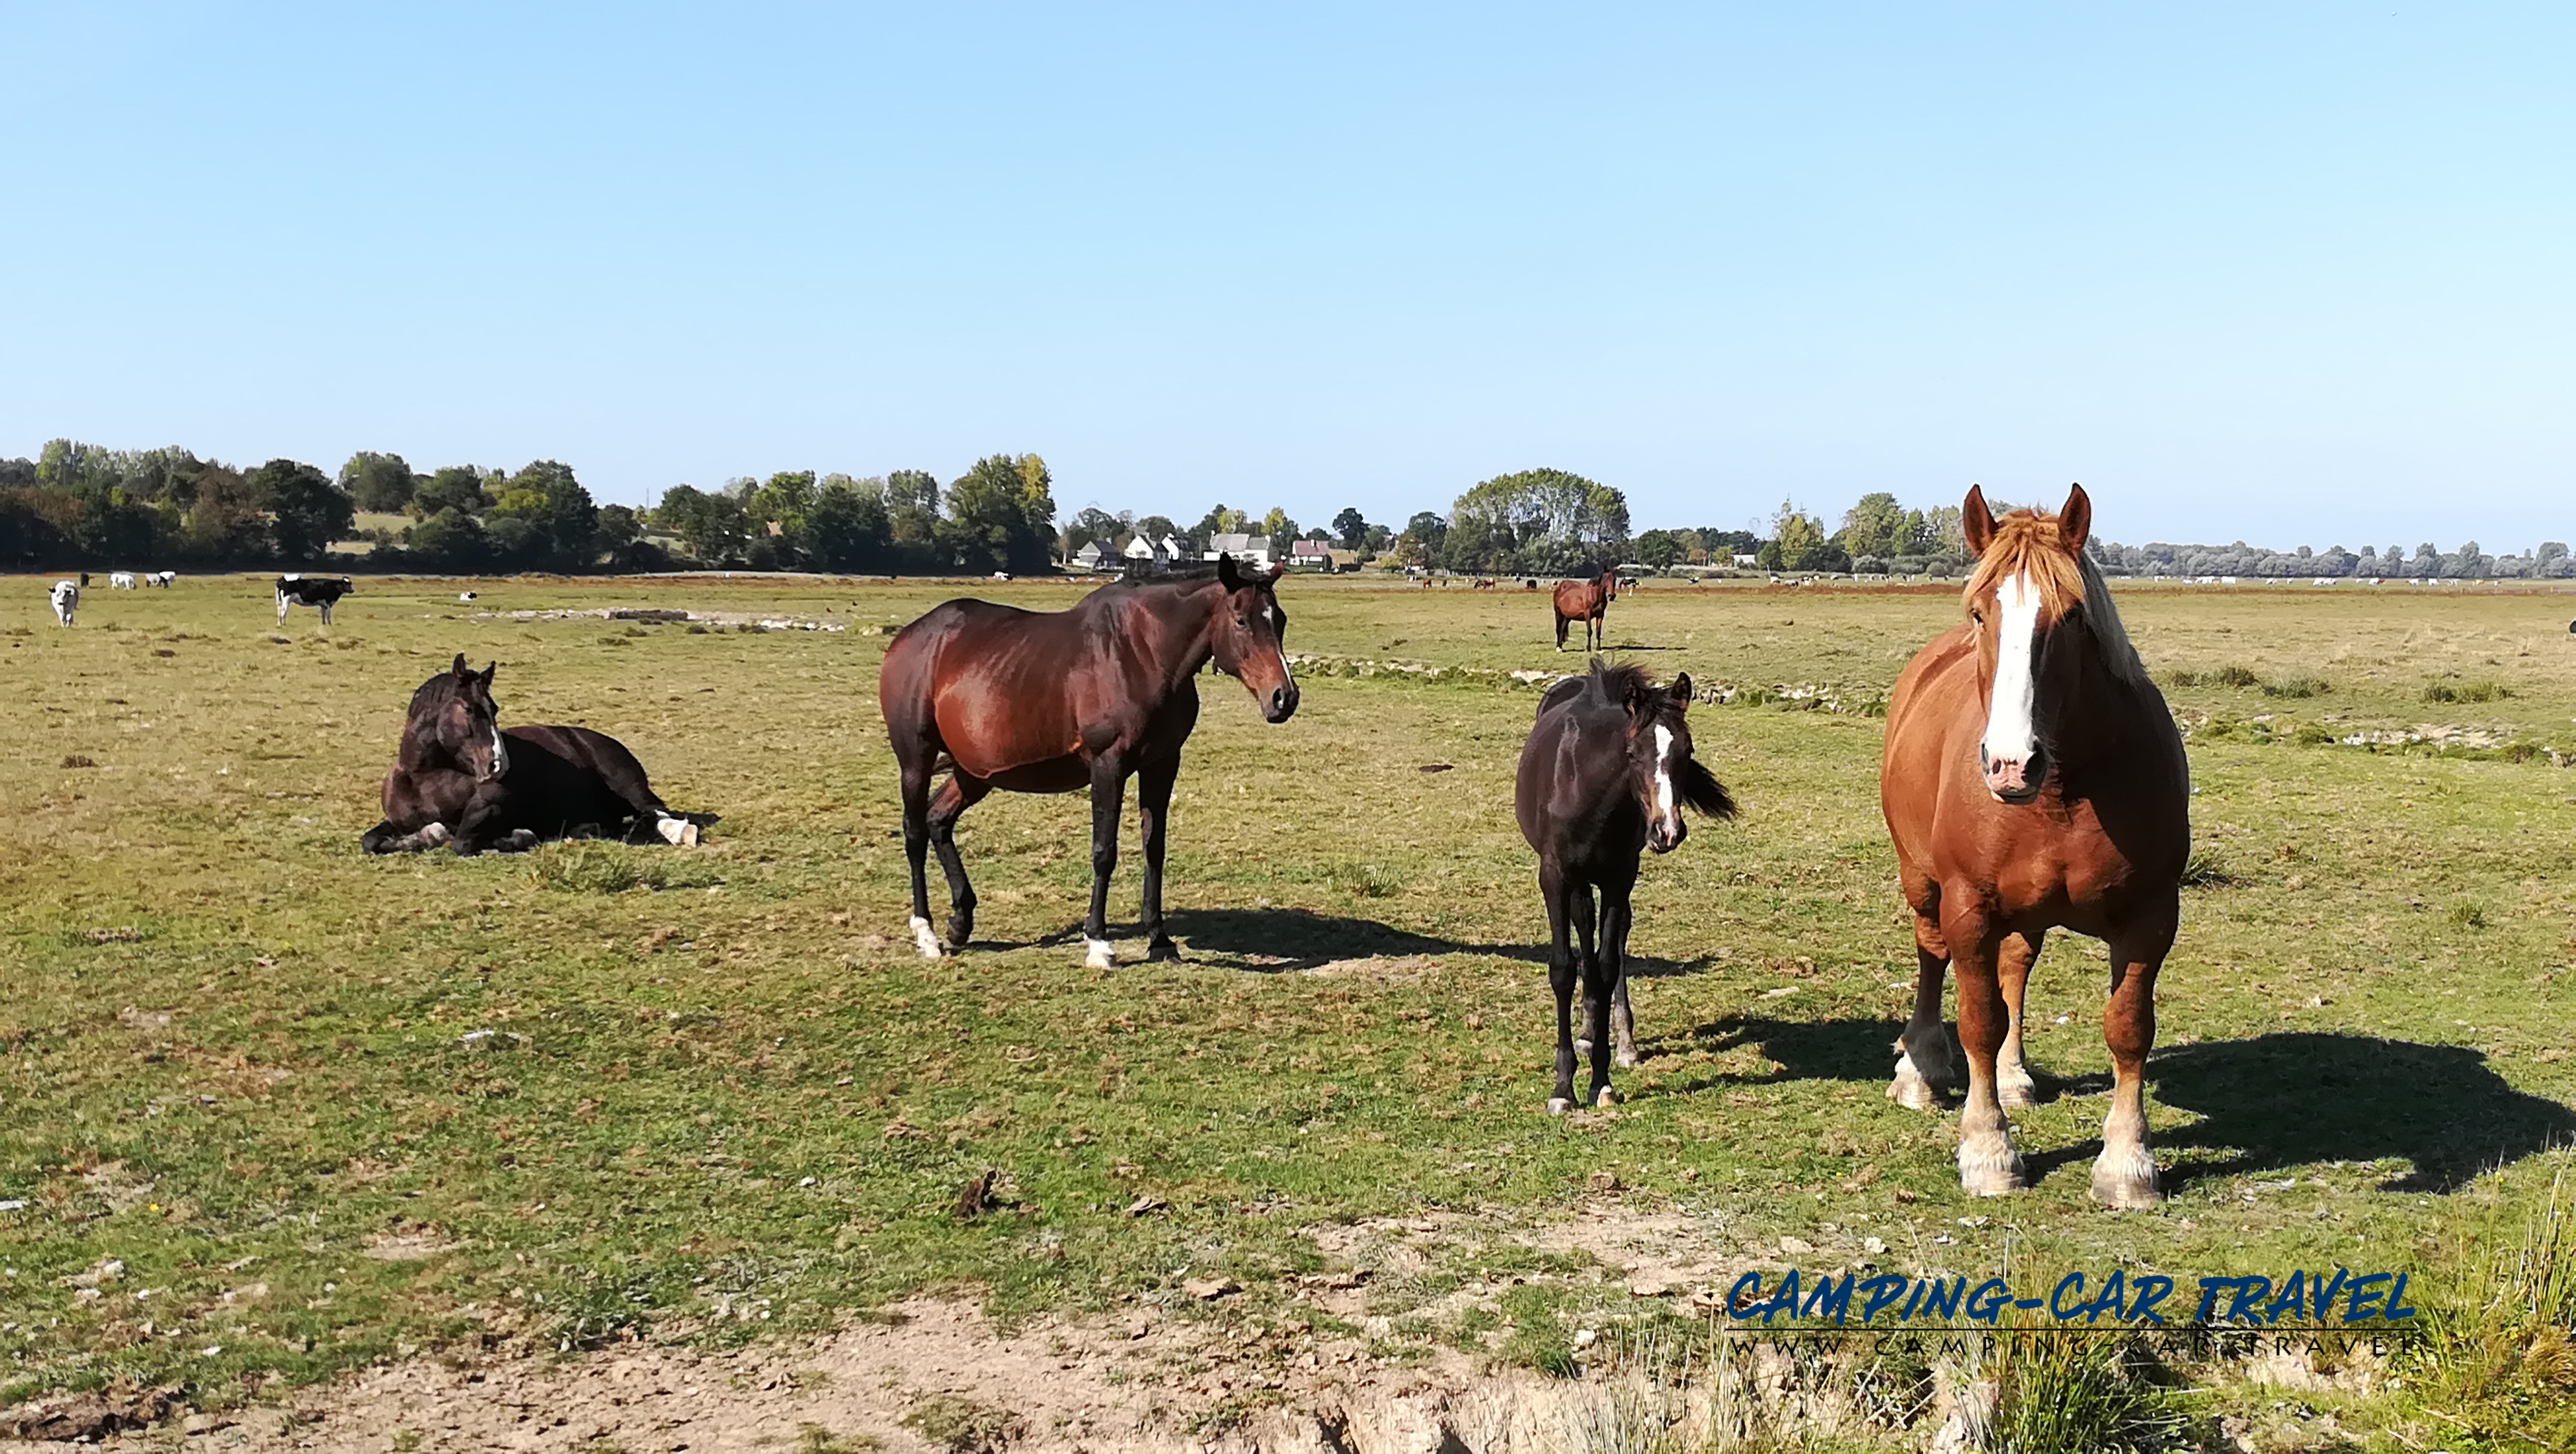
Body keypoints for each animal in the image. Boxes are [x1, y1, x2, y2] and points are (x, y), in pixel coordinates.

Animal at [360, 654, 706, 854]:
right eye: (470, 710)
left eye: (494, 708)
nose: (498, 765)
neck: (425, 778)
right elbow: (371, 841)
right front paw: (417, 838)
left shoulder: (492, 807)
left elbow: (461, 841)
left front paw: (517, 836)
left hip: (629, 787)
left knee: (657, 813)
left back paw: (679, 832)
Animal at [881, 553, 1298, 962]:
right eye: (1241, 620)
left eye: (1279, 619)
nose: (1284, 697)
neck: (1144, 654)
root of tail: (912, 636)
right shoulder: (1107, 765)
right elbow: (1104, 851)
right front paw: (1098, 941)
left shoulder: (1161, 764)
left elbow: (1154, 849)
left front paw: (1159, 939)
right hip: (916, 761)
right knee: (915, 833)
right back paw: (927, 934)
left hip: (975, 772)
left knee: (938, 820)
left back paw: (961, 920)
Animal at [1504, 658, 1731, 1111]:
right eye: (1632, 754)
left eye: (1688, 751)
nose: (1667, 831)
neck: (1590, 793)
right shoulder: (1555, 877)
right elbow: (1563, 968)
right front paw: (1563, 1088)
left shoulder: (1619, 877)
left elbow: (1608, 966)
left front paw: (1601, 1082)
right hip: (1577, 882)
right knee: (1584, 932)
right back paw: (1588, 1031)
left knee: (1615, 940)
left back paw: (1620, 1039)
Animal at [1885, 481, 2184, 1209]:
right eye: (1978, 612)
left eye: (2072, 616)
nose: (2011, 764)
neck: (2063, 792)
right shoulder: (1967, 906)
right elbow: (1977, 1019)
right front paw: (1988, 1150)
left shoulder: (2150, 916)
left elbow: (2128, 1027)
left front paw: (2128, 1161)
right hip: (1922, 883)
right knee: (1931, 956)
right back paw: (1921, 1067)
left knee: (2016, 966)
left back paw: (2015, 1075)